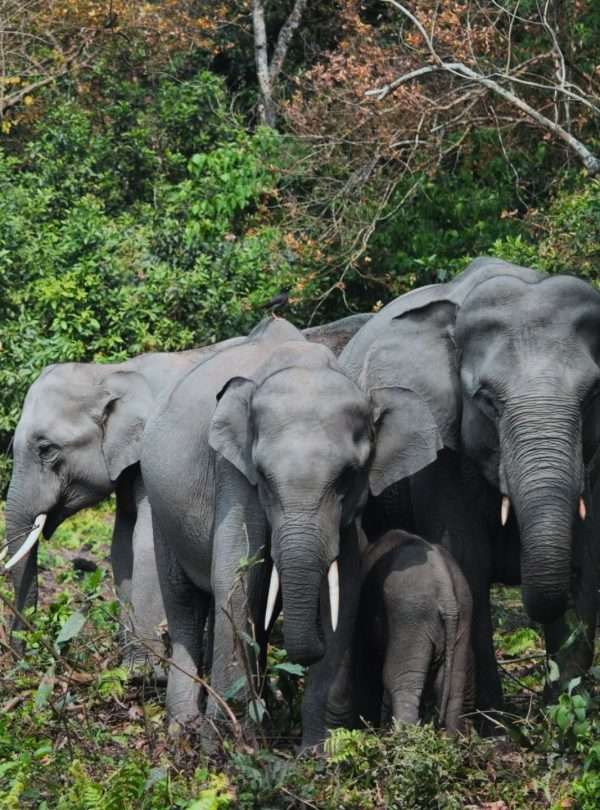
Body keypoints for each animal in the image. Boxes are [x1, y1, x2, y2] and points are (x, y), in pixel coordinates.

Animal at [3, 310, 370, 664]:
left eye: (46, 449)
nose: (25, 657)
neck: (112, 372)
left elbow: (142, 544)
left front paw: (144, 671)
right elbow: (121, 544)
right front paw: (132, 666)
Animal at [139, 314, 380, 724]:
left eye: (347, 476)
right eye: (264, 477)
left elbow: (347, 580)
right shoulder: (232, 470)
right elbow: (236, 572)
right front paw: (225, 735)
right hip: (161, 509)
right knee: (184, 602)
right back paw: (184, 726)